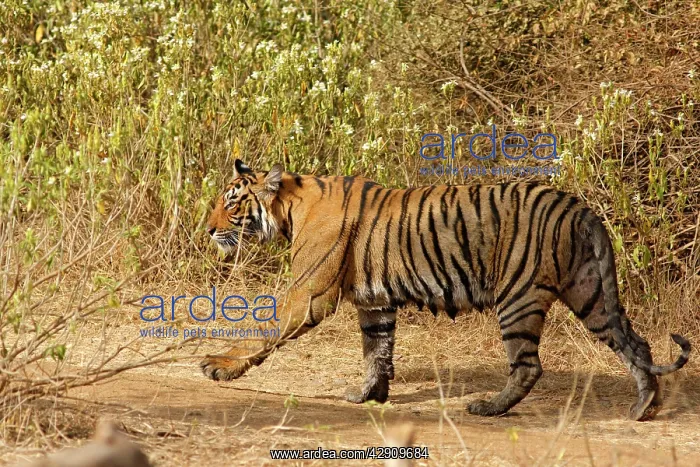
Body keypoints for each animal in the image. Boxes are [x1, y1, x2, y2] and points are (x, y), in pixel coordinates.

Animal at [202, 159, 691, 421]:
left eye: (231, 202)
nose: (207, 229)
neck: (289, 206)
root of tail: (579, 207)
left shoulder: (309, 295)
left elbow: (263, 329)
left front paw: (219, 366)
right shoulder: (375, 301)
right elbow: (377, 350)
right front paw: (369, 395)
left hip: (518, 296)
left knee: (528, 366)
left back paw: (489, 408)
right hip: (589, 292)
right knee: (636, 344)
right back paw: (645, 407)